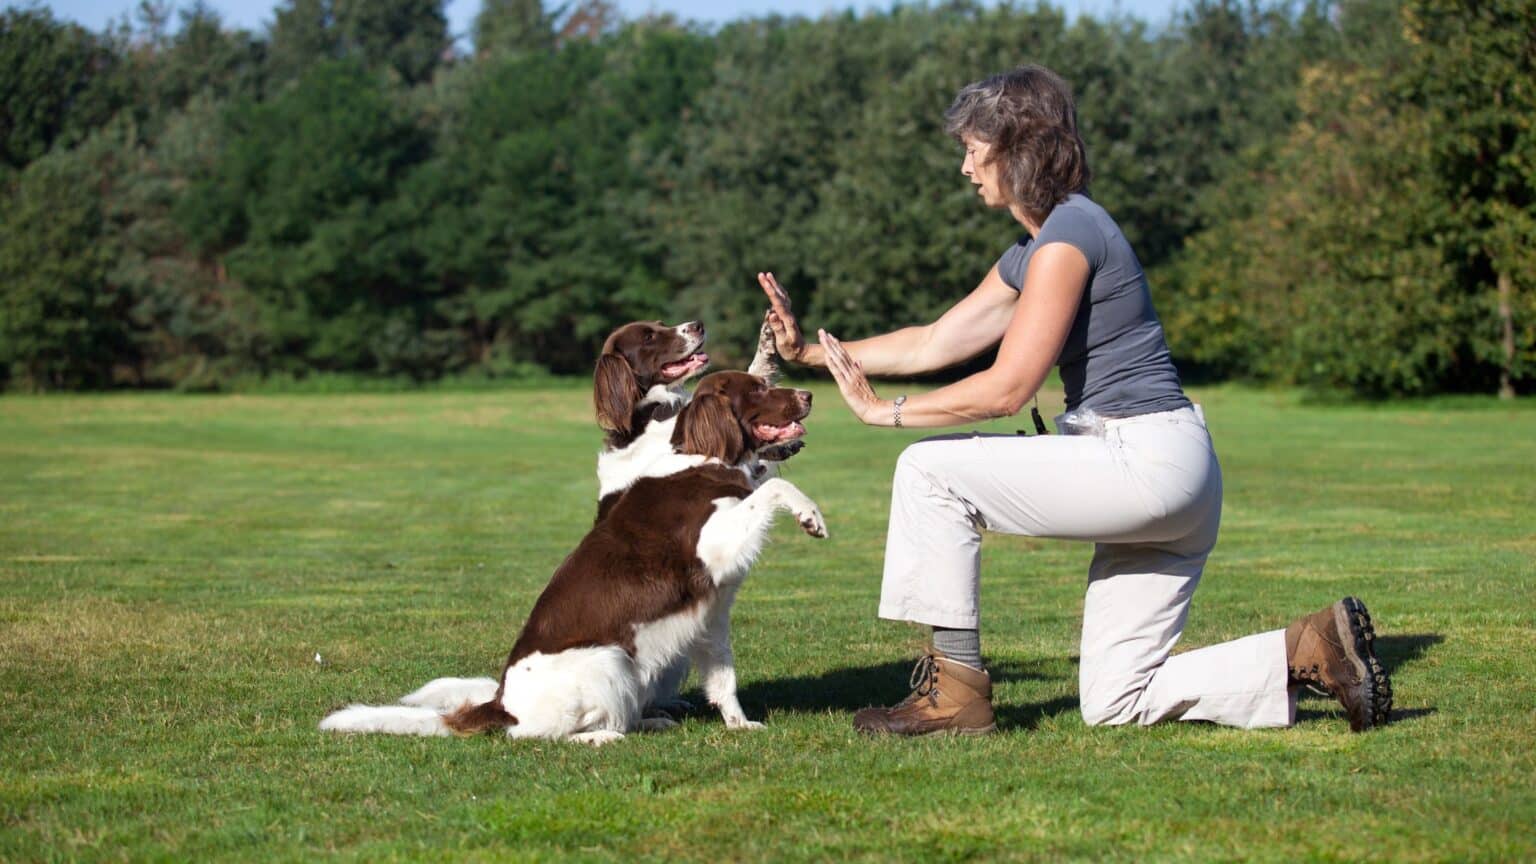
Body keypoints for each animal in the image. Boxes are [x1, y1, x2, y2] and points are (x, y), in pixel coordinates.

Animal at [316, 370, 823, 741]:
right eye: (758, 388)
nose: (809, 394)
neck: (704, 457)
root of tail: (501, 702)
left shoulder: (711, 615)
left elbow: (723, 678)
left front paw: (740, 724)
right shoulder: (714, 543)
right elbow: (770, 489)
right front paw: (811, 515)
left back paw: (648, 720)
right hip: (610, 657)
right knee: (536, 734)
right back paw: (604, 737)